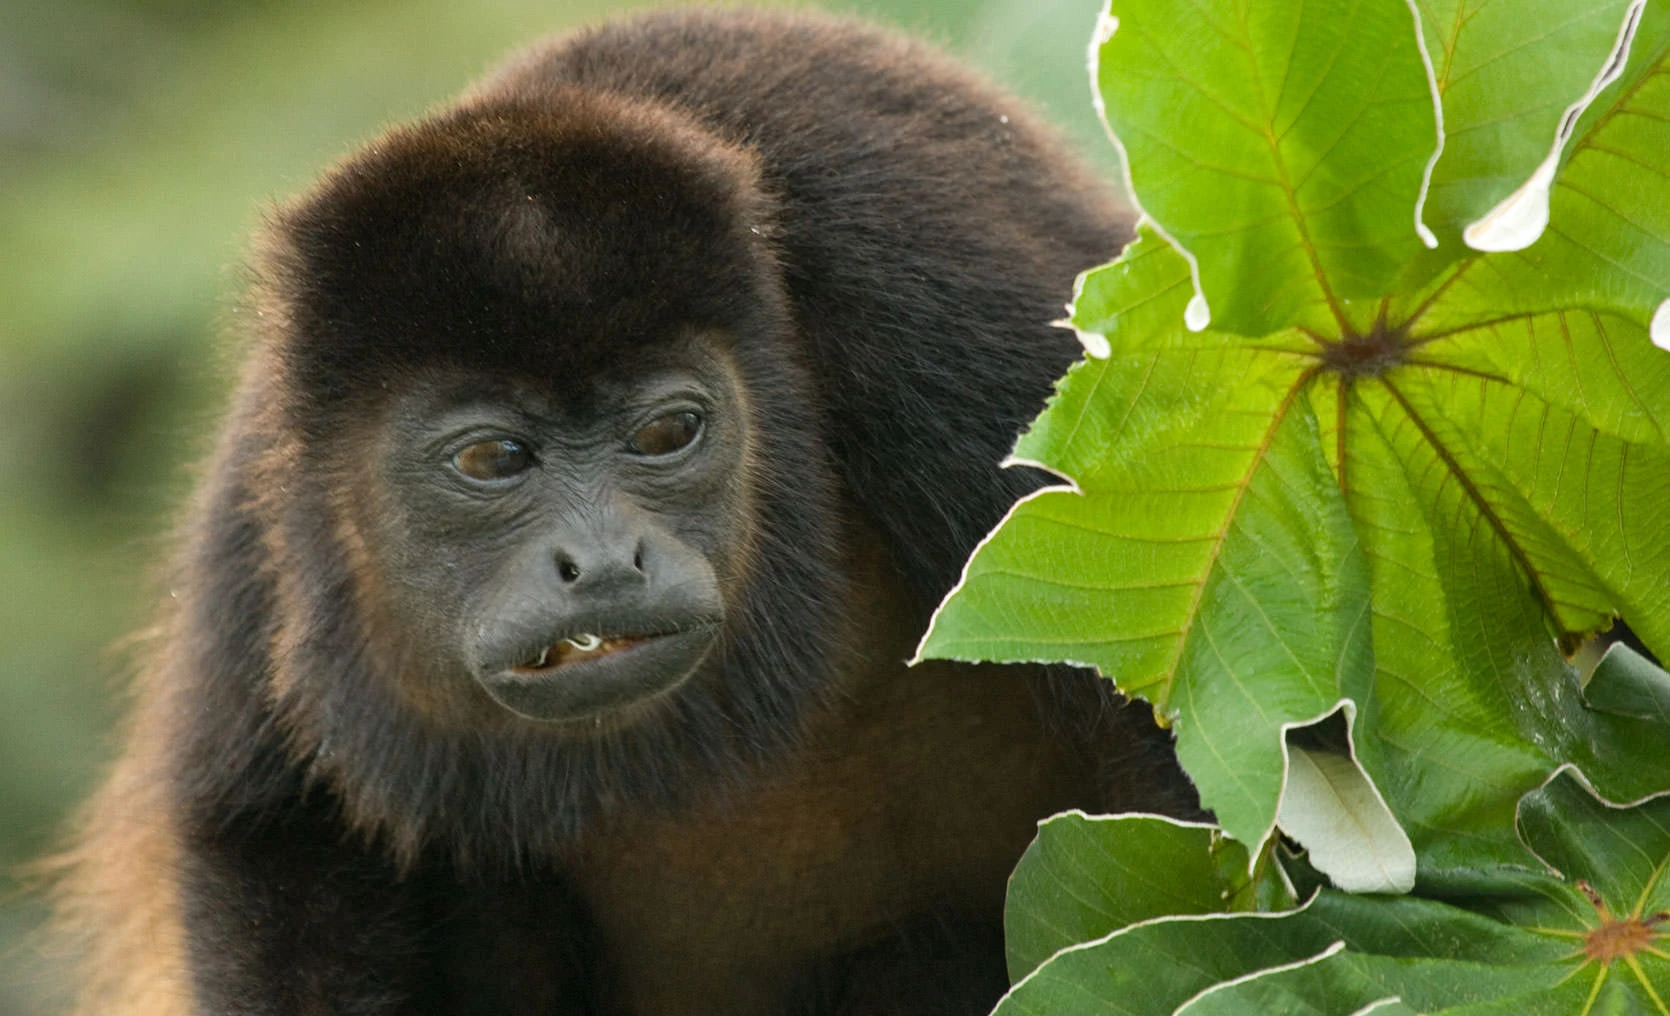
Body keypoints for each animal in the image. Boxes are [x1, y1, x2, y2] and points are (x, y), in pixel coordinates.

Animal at [49, 9, 1197, 1016]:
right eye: (491, 458)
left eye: (666, 432)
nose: (601, 559)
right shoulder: (264, 507)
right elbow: (275, 831)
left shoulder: (943, 311)